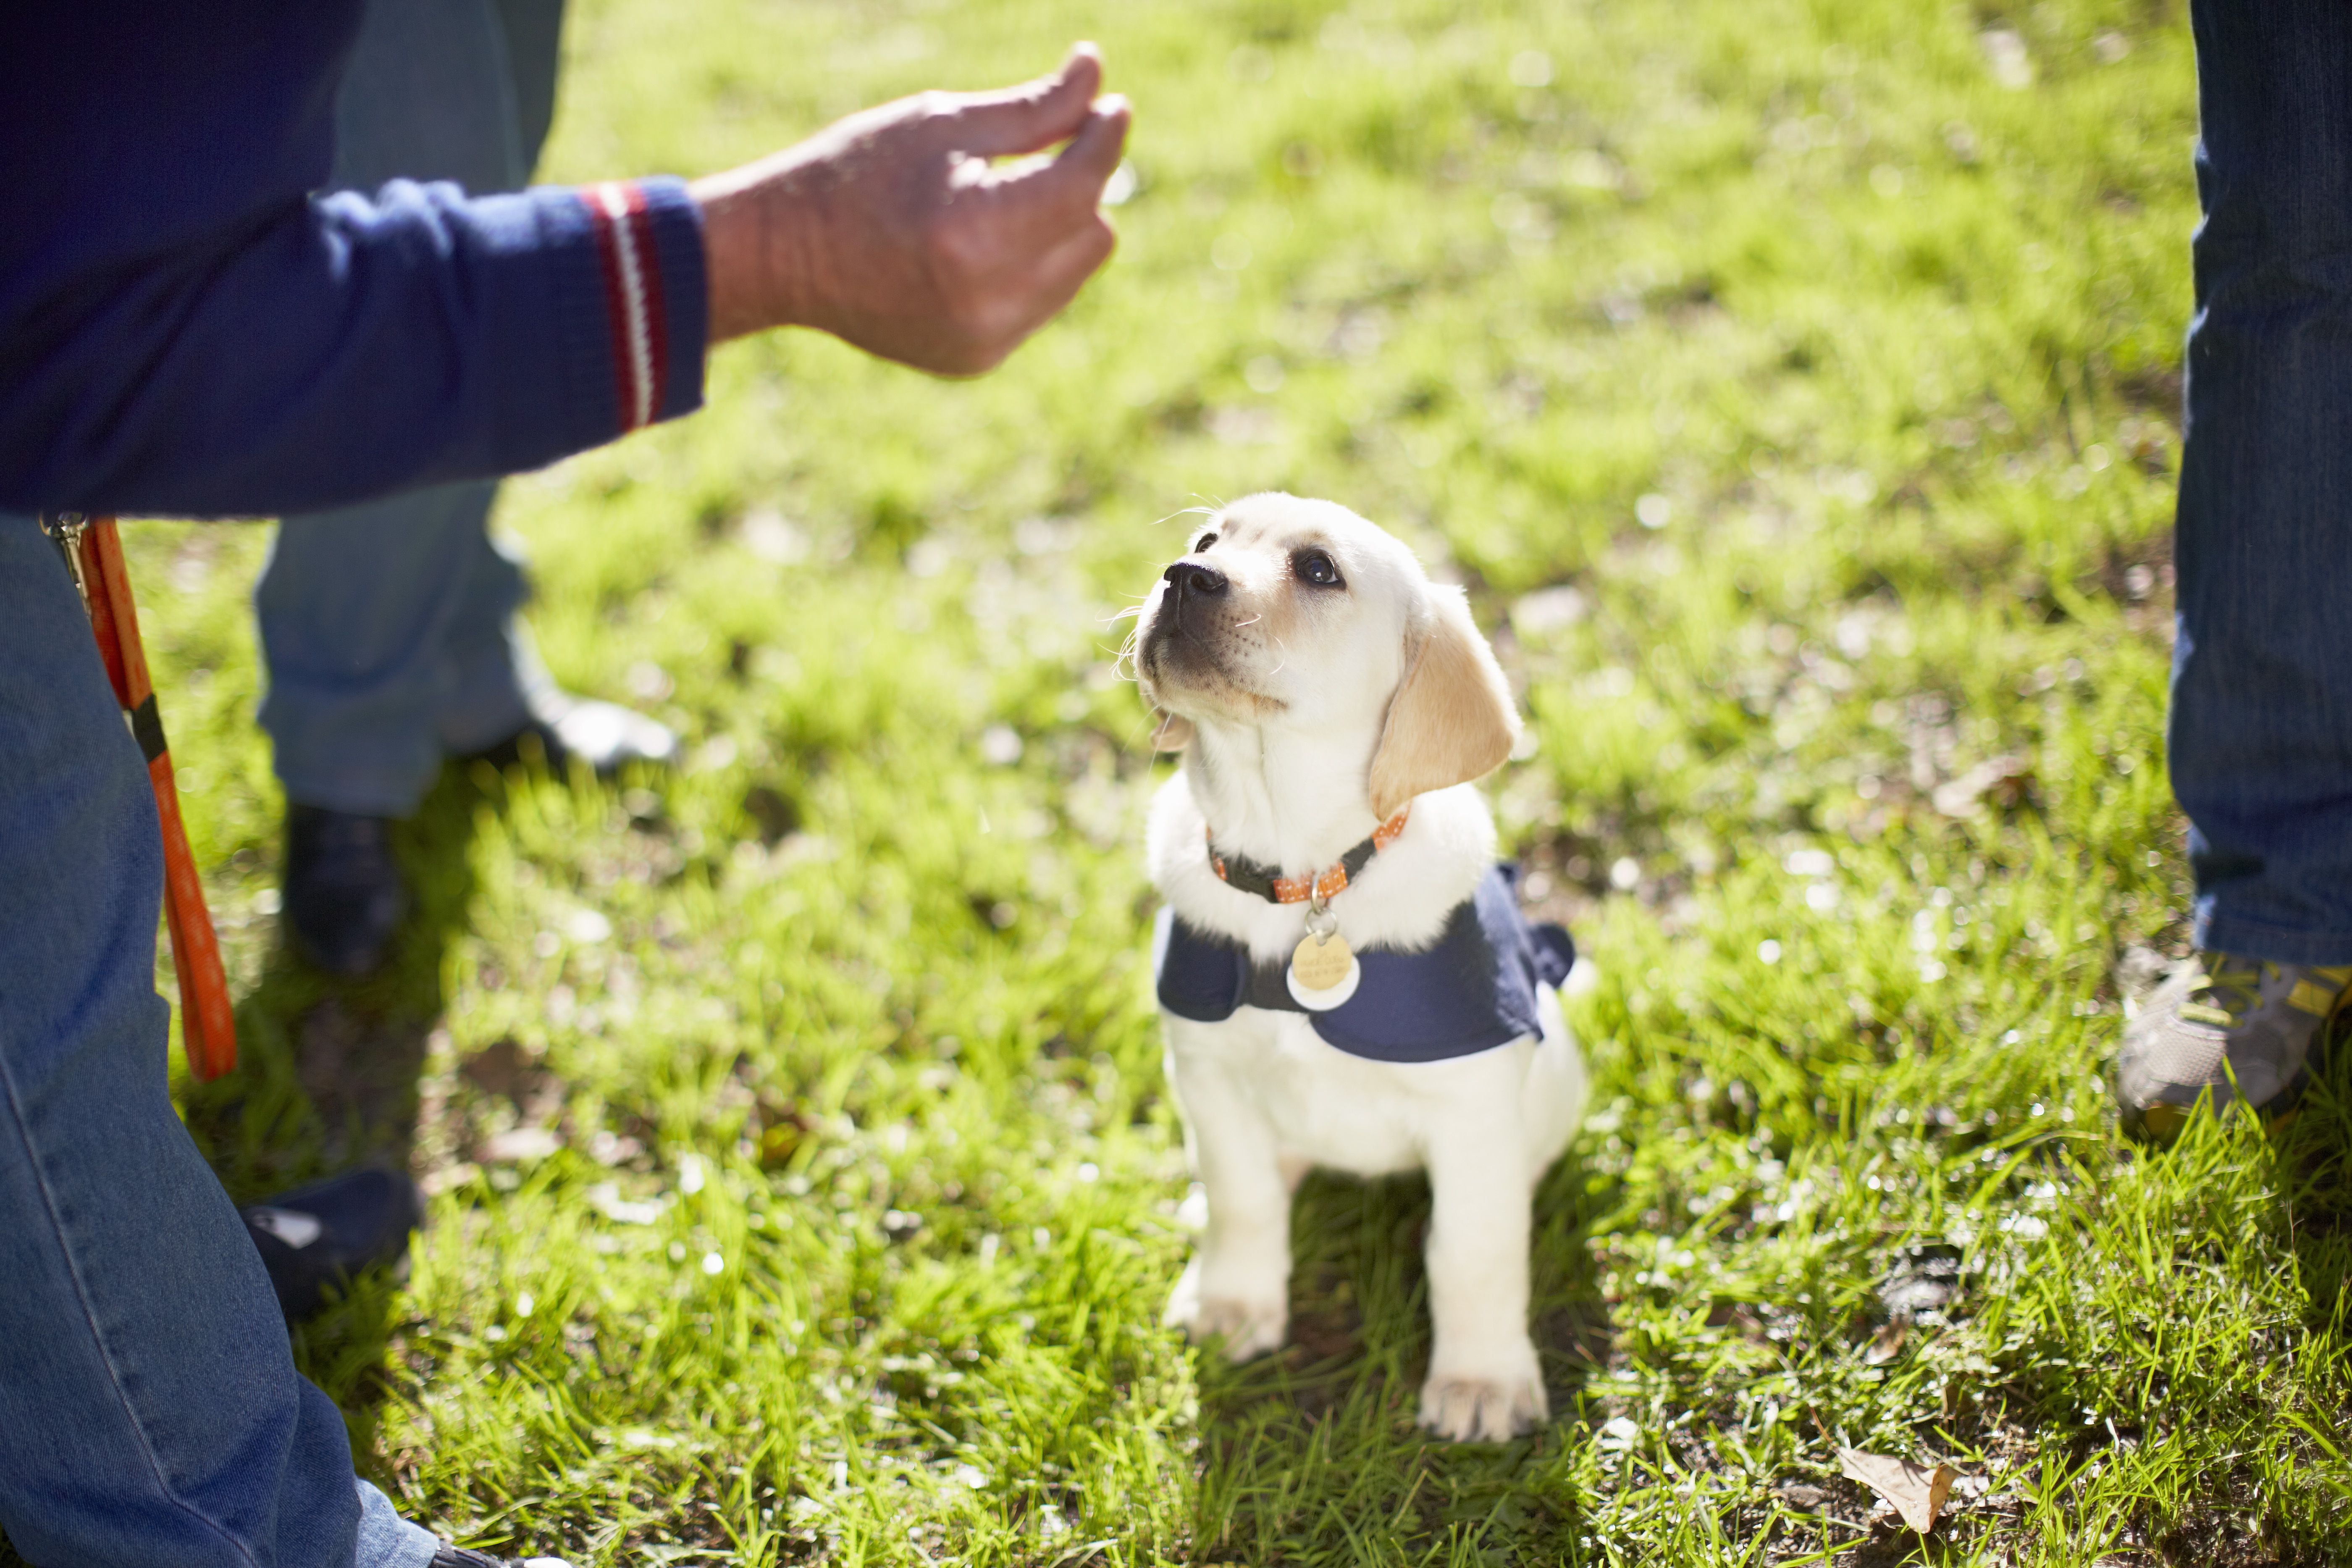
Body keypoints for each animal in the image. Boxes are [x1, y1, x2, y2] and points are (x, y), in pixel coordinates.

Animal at [1134, 496, 1580, 1439]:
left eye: (1318, 571)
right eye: (1207, 541)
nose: (1182, 577)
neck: (1301, 876)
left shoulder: (1471, 1110)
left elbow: (1475, 1249)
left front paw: (1481, 1381)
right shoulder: (1208, 1071)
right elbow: (1244, 1196)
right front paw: (1234, 1302)